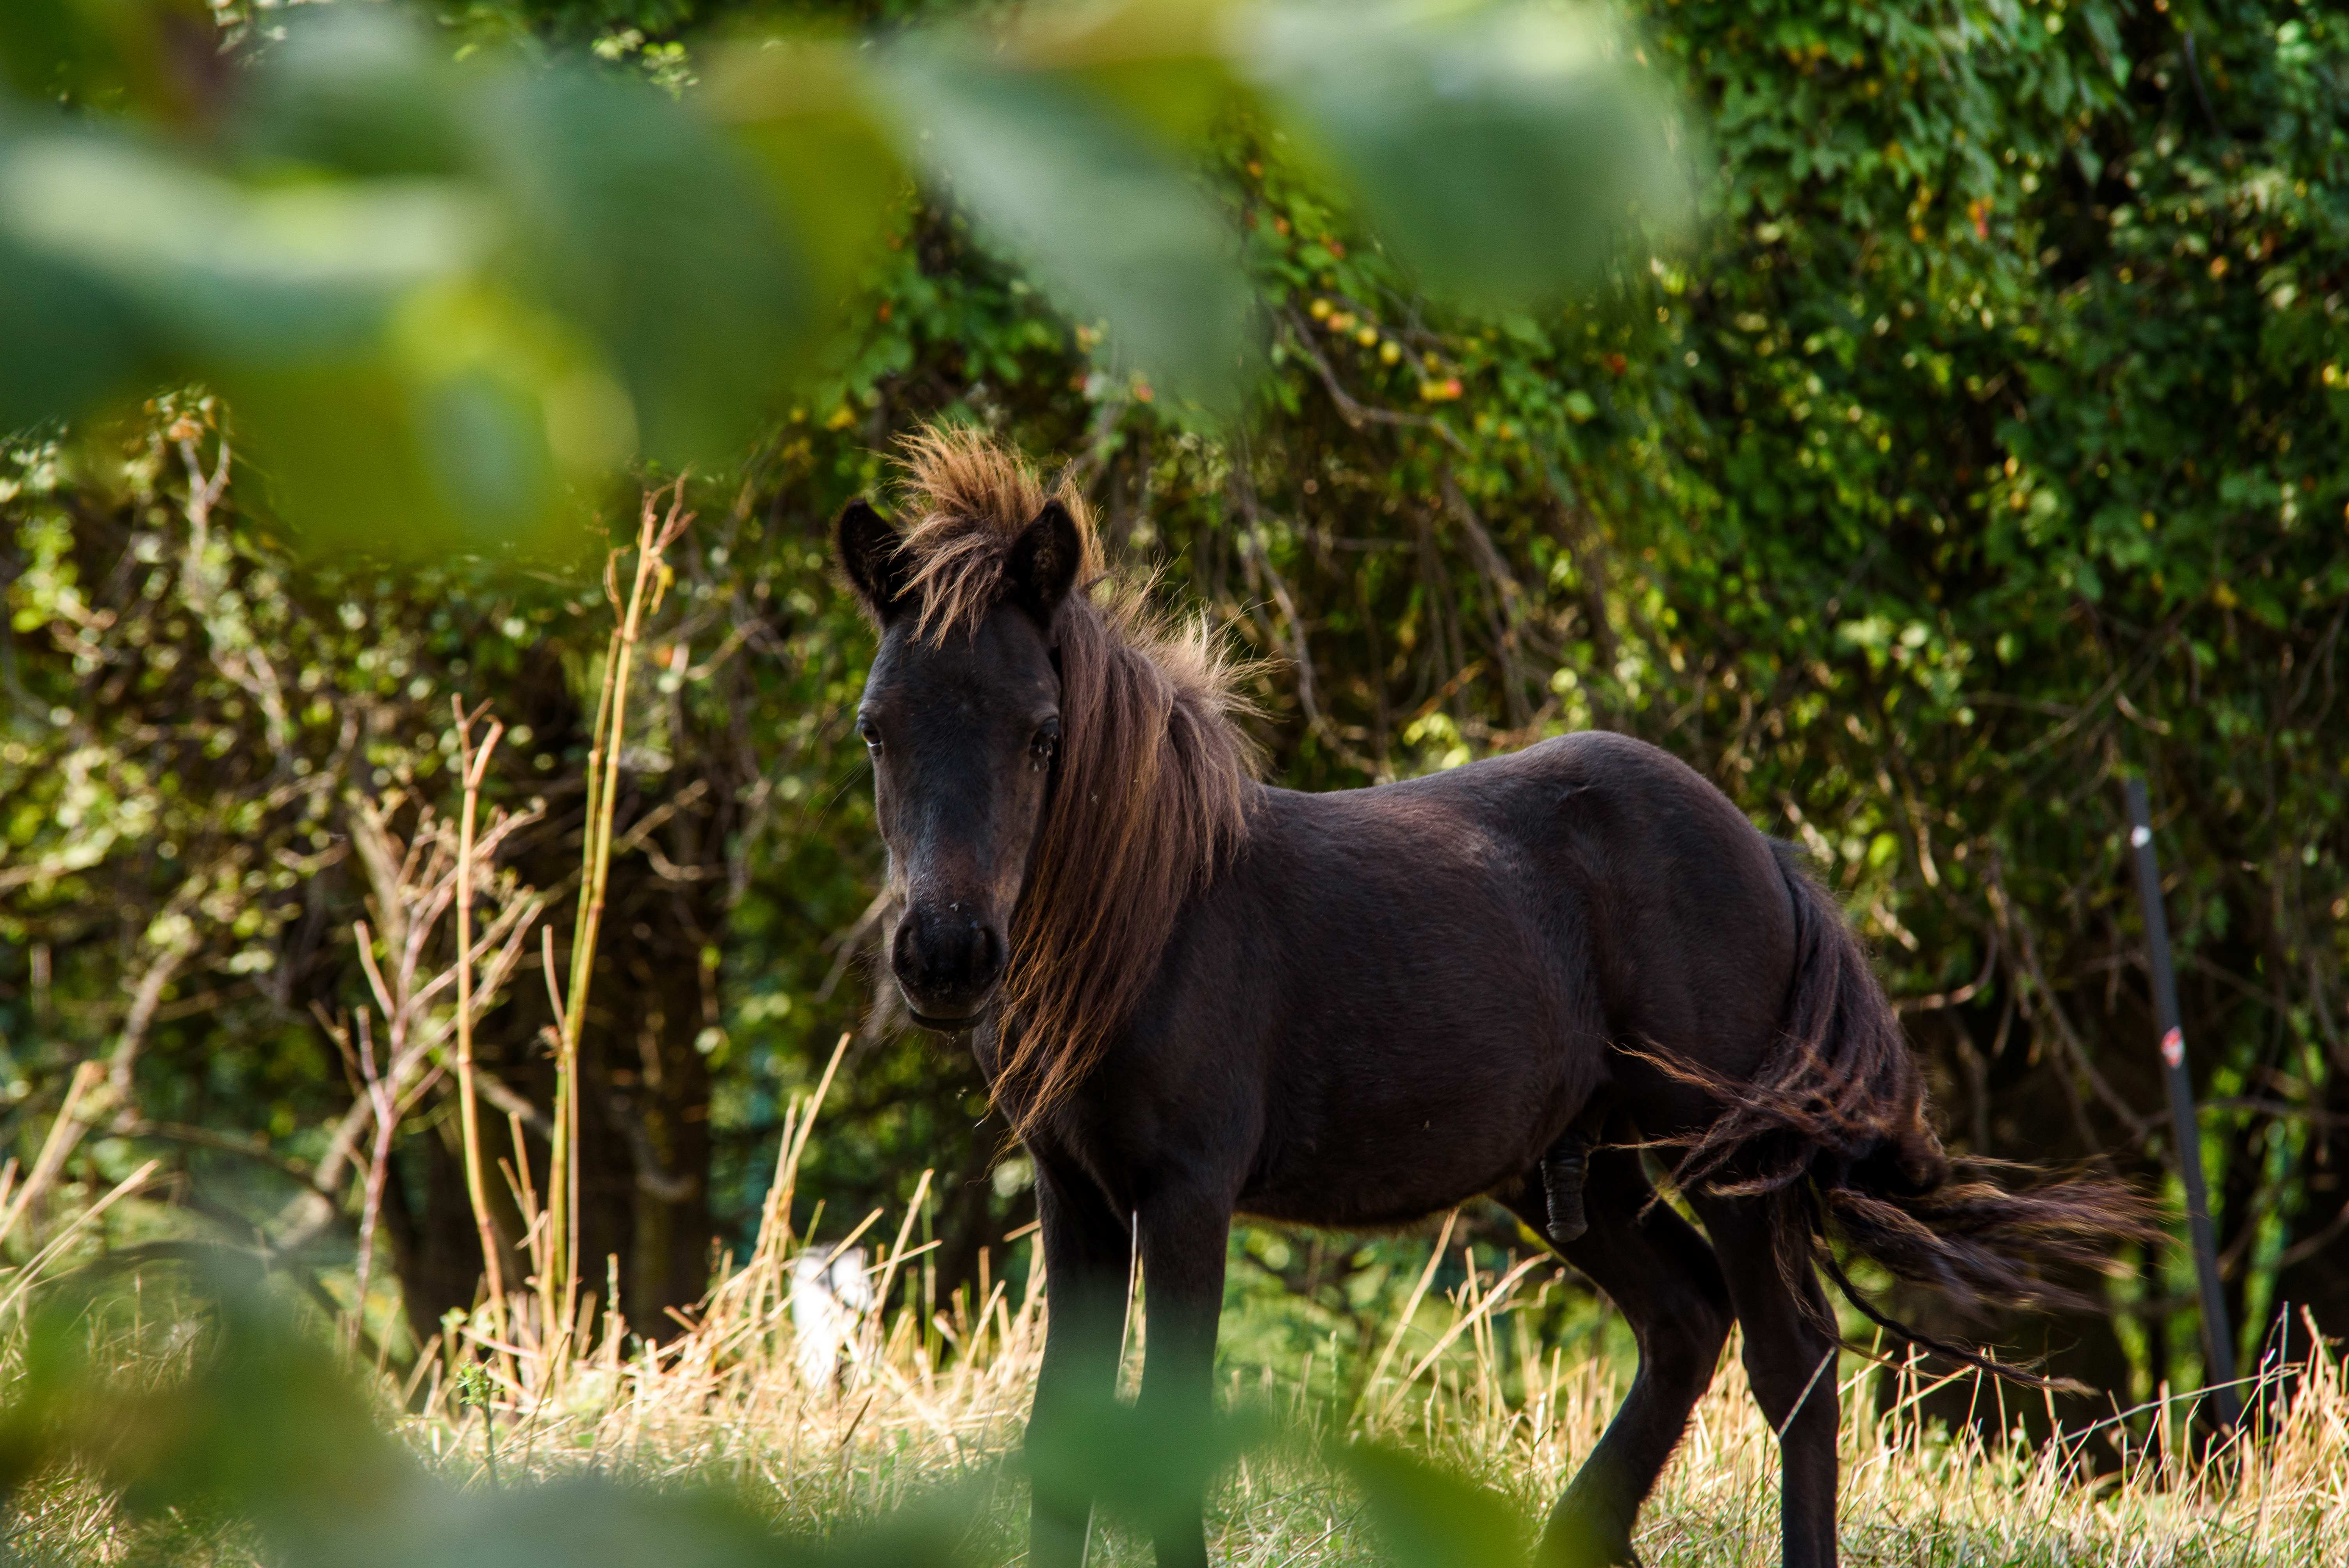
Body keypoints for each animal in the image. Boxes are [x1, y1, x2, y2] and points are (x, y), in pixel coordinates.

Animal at [836, 429, 2142, 1568]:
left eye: (1042, 732)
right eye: (876, 729)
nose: (945, 956)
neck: (1146, 922)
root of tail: (1768, 851)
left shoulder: (1187, 1195)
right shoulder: (1079, 1198)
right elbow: (1062, 1444)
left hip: (1729, 1158)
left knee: (1795, 1363)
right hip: (1576, 1167)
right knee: (1686, 1317)